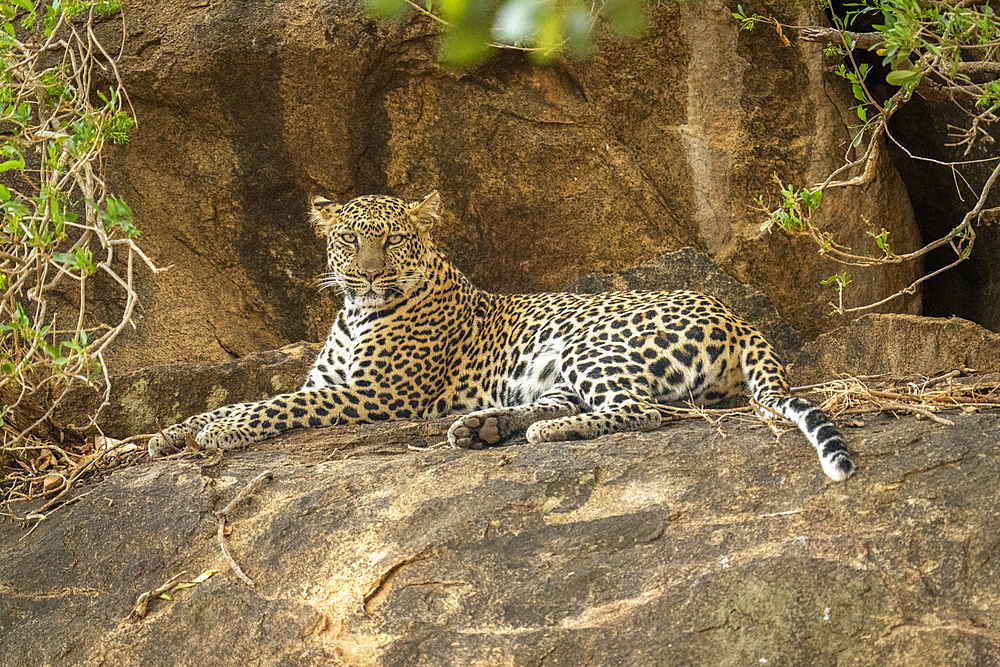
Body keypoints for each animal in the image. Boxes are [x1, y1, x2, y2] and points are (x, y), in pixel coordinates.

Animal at [148, 190, 852, 482]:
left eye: (392, 240)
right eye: (349, 239)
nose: (367, 273)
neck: (354, 311)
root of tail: (738, 316)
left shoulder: (375, 396)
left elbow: (271, 407)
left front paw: (215, 431)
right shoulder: (332, 381)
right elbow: (260, 399)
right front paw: (172, 432)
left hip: (593, 343)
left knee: (642, 411)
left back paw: (542, 434)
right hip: (559, 367)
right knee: (564, 403)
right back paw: (484, 427)